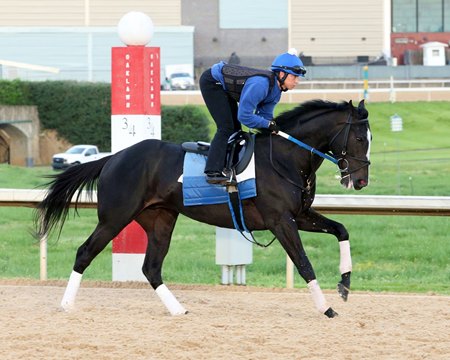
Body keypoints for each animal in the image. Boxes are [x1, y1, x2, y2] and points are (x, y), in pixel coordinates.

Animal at [35, 98, 370, 318]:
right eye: (358, 137)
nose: (361, 180)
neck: (285, 158)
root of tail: (113, 157)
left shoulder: (299, 216)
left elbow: (342, 230)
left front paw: (345, 284)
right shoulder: (280, 221)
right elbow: (303, 262)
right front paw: (326, 307)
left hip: (160, 220)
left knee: (151, 267)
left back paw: (178, 309)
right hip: (114, 218)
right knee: (85, 252)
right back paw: (66, 305)